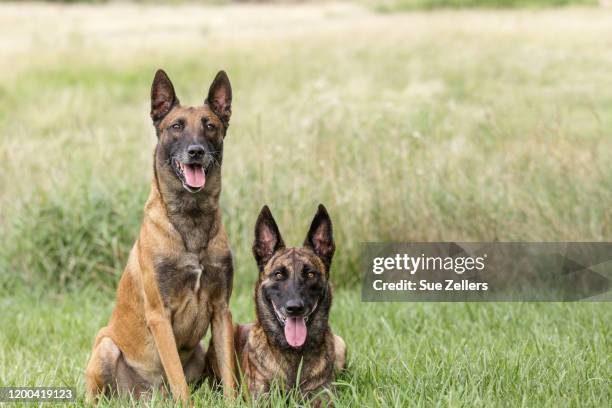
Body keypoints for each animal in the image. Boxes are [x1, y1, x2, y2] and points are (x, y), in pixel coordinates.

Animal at [209, 204, 344, 404]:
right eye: (278, 274)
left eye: (310, 274)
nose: (295, 308)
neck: (294, 353)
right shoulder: (262, 397)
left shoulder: (323, 395)